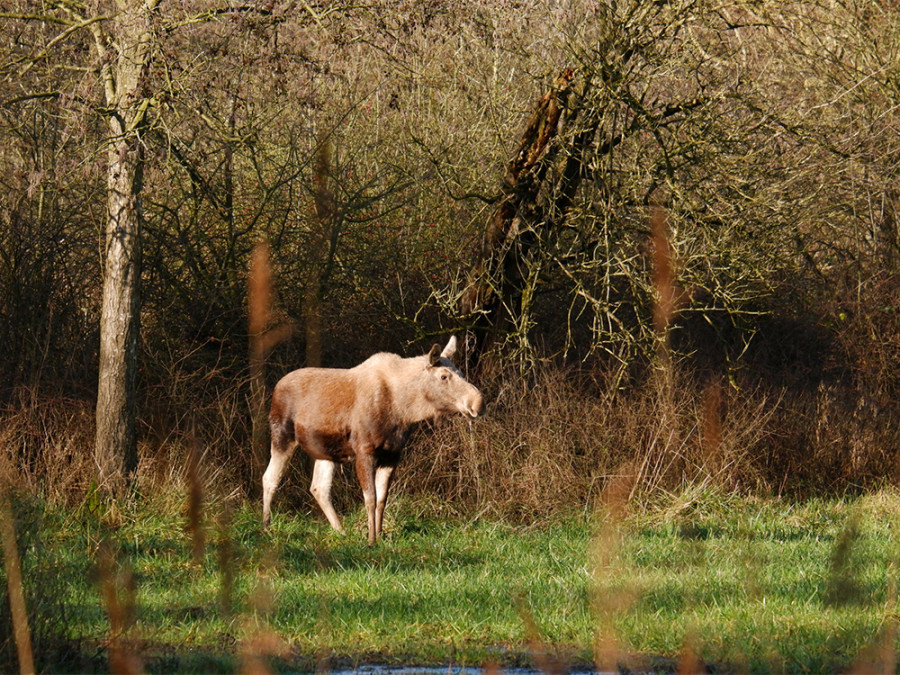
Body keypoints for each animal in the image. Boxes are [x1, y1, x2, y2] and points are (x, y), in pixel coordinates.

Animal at [262, 336, 486, 548]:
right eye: (443, 376)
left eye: (461, 373)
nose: (478, 403)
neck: (404, 409)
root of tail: (276, 387)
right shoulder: (365, 450)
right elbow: (369, 498)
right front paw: (371, 540)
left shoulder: (392, 455)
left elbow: (382, 498)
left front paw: (380, 535)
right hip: (282, 435)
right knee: (270, 478)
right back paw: (266, 527)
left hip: (326, 450)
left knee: (319, 488)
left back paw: (341, 532)